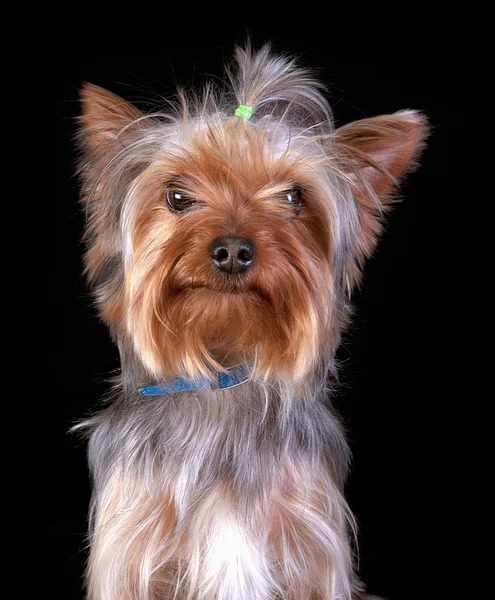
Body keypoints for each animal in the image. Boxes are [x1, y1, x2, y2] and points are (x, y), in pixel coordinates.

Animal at [74, 43, 430, 600]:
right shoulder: (130, 549)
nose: (233, 250)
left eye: (292, 197)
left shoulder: (311, 548)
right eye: (177, 195)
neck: (223, 373)